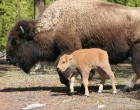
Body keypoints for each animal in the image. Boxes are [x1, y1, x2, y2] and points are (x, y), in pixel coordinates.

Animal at [6, 0, 140, 91]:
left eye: (16, 42)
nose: (8, 59)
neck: (56, 24)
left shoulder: (69, 49)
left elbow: (61, 68)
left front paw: (69, 82)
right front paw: (78, 85)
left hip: (135, 51)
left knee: (137, 70)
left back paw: (126, 87)